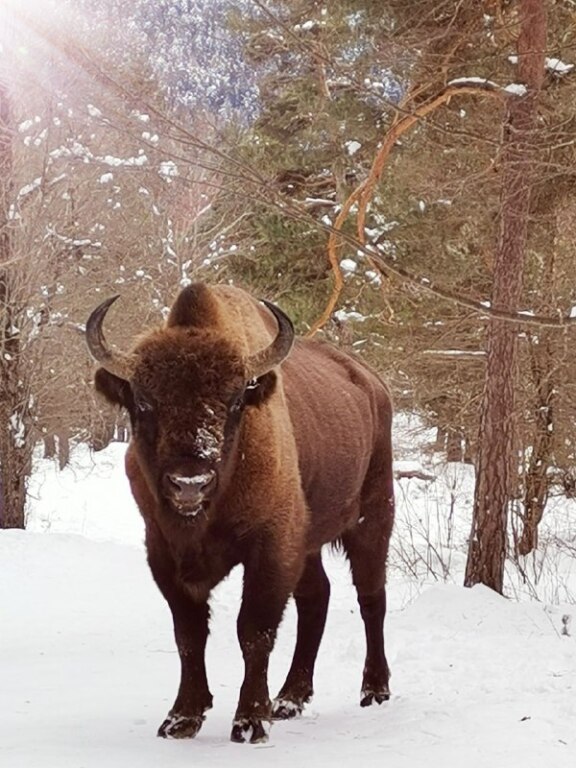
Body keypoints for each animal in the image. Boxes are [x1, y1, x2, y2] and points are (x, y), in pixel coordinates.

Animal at [85, 284, 394, 744]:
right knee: (316, 598)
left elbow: (253, 631)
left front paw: (249, 722)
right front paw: (182, 718)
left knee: (371, 597)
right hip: (308, 544)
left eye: (234, 401)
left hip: (372, 520)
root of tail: (373, 384)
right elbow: (189, 634)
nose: (189, 483)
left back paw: (374, 690)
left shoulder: (270, 548)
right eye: (142, 401)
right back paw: (289, 699)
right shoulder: (163, 553)